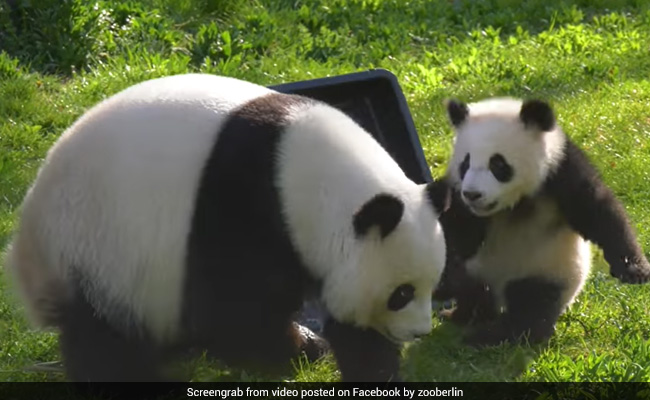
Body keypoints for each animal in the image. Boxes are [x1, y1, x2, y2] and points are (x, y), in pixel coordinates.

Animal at [5, 73, 450, 382]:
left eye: (431, 285)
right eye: (401, 294)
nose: (419, 332)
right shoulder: (234, 201)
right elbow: (235, 310)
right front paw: (302, 350)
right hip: (98, 254)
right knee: (105, 341)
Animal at [432, 97, 650, 347]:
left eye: (497, 164)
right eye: (465, 164)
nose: (472, 194)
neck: (515, 204)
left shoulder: (561, 171)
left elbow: (598, 212)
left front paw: (634, 270)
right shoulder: (459, 199)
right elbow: (455, 234)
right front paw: (443, 283)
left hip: (547, 268)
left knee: (532, 303)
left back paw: (496, 335)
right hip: (481, 270)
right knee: (471, 289)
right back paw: (461, 315)